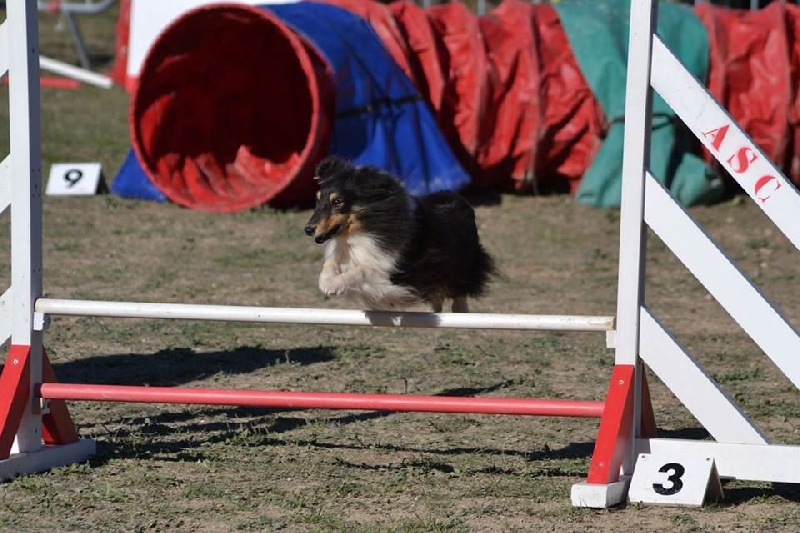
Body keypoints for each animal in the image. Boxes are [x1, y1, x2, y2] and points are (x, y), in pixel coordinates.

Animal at [304, 155, 496, 312]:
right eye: (318, 200)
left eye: (337, 202)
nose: (308, 229)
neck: (359, 233)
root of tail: (457, 197)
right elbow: (330, 263)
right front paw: (325, 281)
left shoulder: (394, 272)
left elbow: (364, 269)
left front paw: (334, 285)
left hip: (461, 264)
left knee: (460, 289)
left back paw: (459, 309)